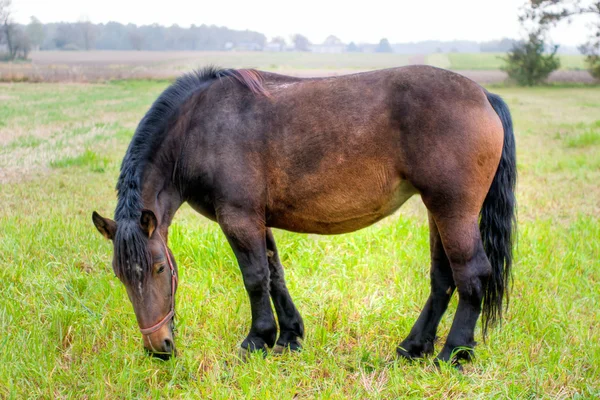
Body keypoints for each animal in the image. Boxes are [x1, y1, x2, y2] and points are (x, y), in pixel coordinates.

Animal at [90, 65, 516, 366]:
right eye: (120, 275)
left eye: (160, 268)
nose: (158, 348)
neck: (199, 128)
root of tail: (483, 95)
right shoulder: (257, 219)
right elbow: (274, 274)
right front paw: (289, 336)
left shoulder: (238, 217)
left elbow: (255, 278)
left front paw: (257, 339)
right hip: (437, 210)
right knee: (443, 279)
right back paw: (413, 347)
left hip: (453, 210)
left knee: (472, 275)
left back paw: (454, 354)